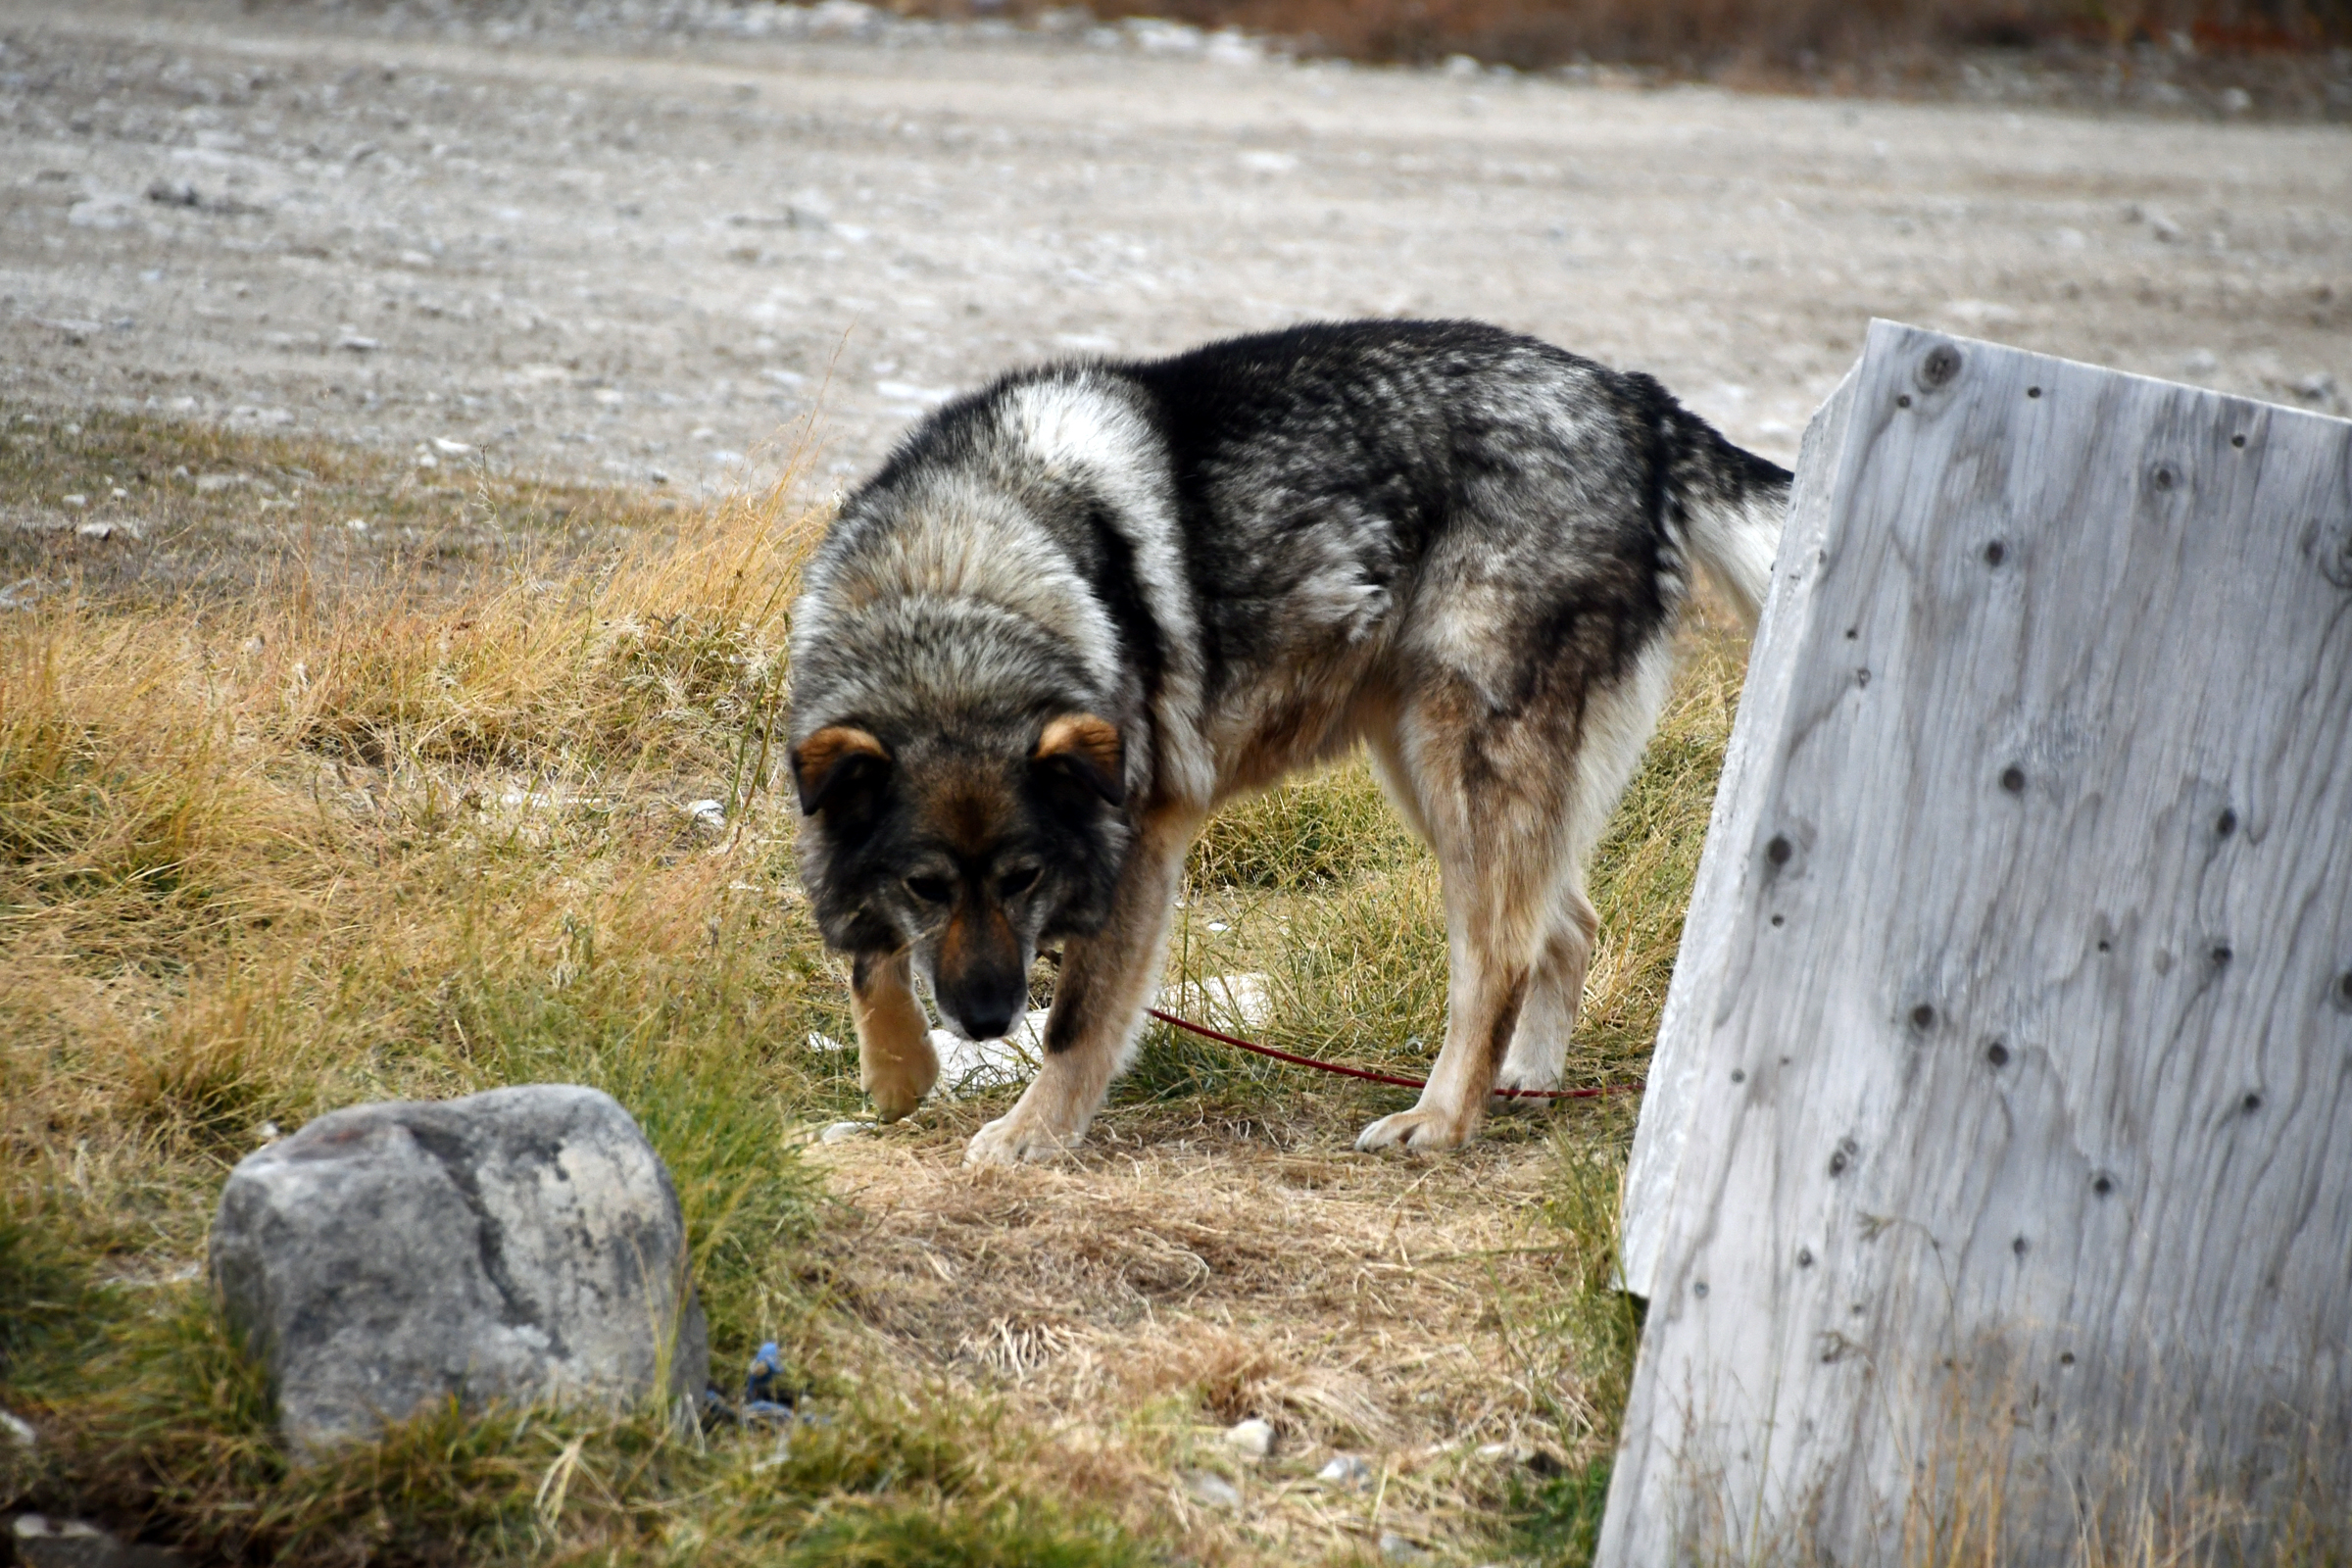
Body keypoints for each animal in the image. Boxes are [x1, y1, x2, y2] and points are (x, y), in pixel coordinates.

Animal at [787, 319, 1788, 1164]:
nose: (988, 1022)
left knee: (1496, 959)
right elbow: (868, 959)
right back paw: (1527, 1082)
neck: (954, 583)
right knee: (1568, 925)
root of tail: (1637, 403)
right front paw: (898, 1073)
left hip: (1461, 765)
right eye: (926, 886)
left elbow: (1076, 1022)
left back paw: (1441, 1118)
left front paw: (1034, 1134)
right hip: (1430, 775)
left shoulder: (1138, 845)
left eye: (1025, 878)